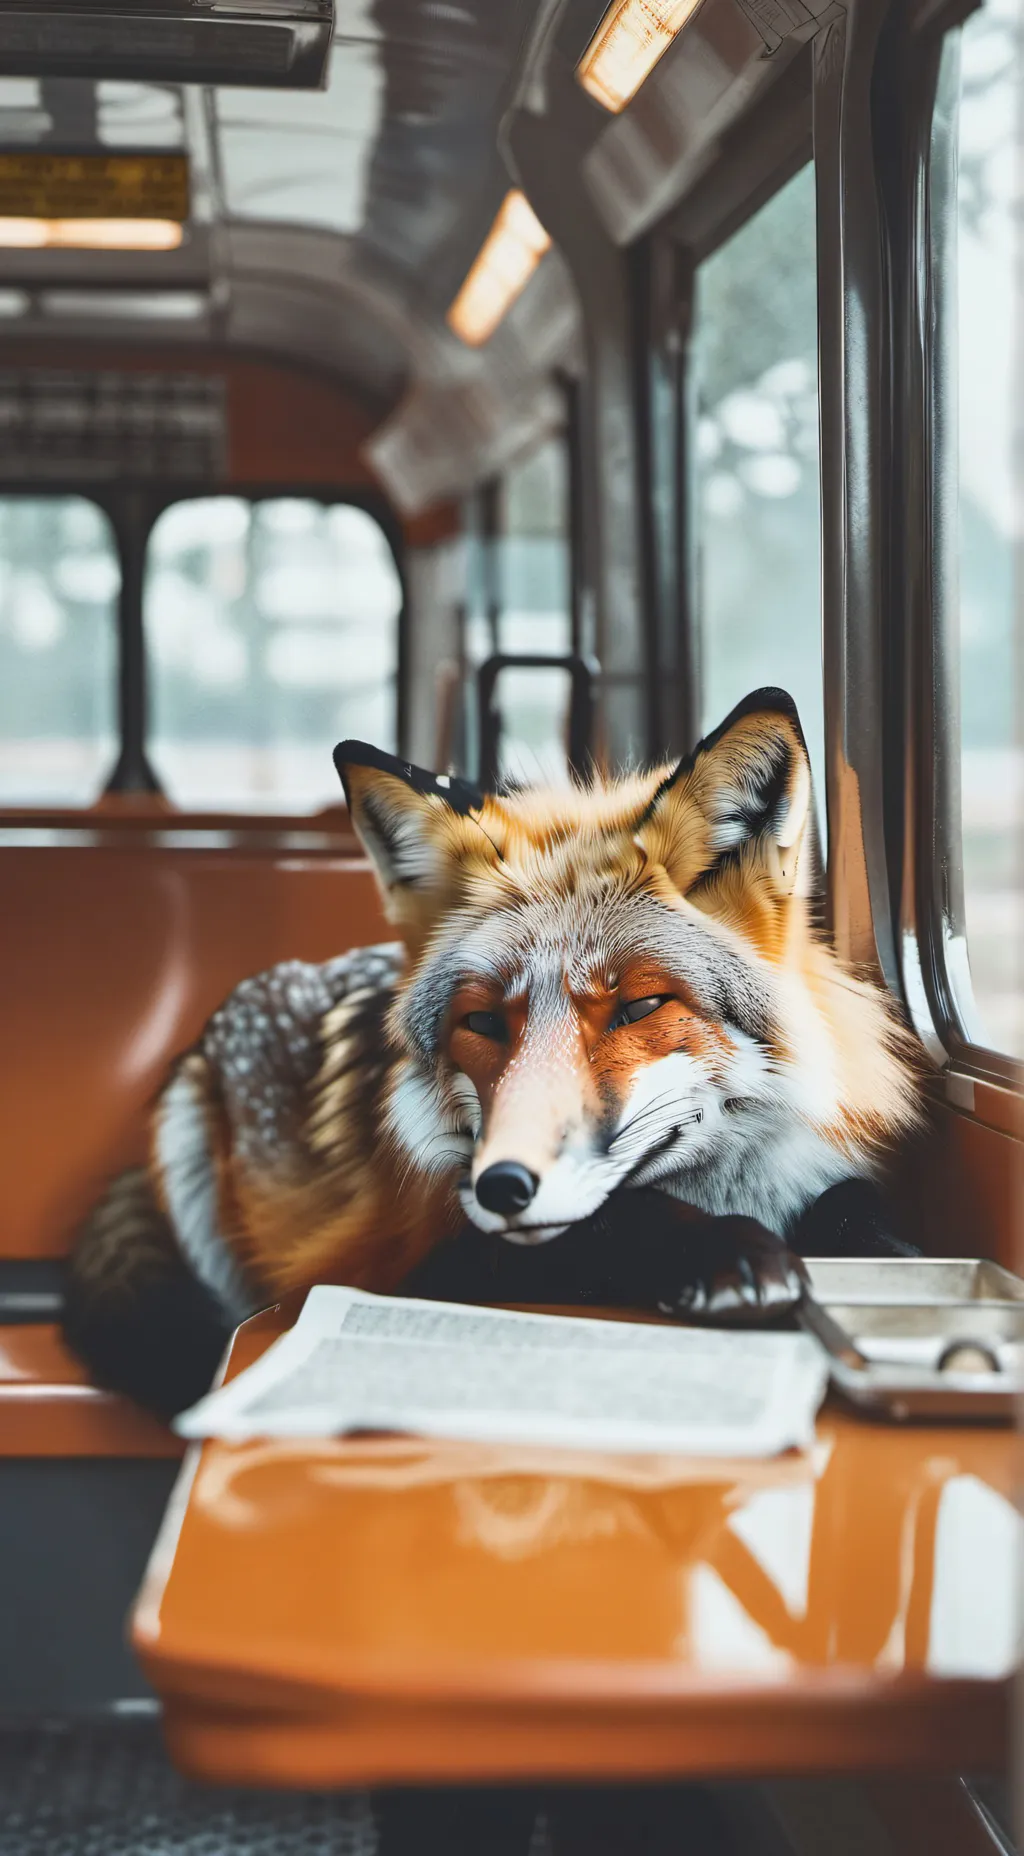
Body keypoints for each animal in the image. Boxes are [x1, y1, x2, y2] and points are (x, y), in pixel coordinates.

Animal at [63, 688, 919, 1415]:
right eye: (482, 1023)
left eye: (640, 1007)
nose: (504, 1185)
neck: (730, 1192)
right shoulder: (413, 1265)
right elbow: (617, 1217)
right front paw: (724, 1250)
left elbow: (854, 1209)